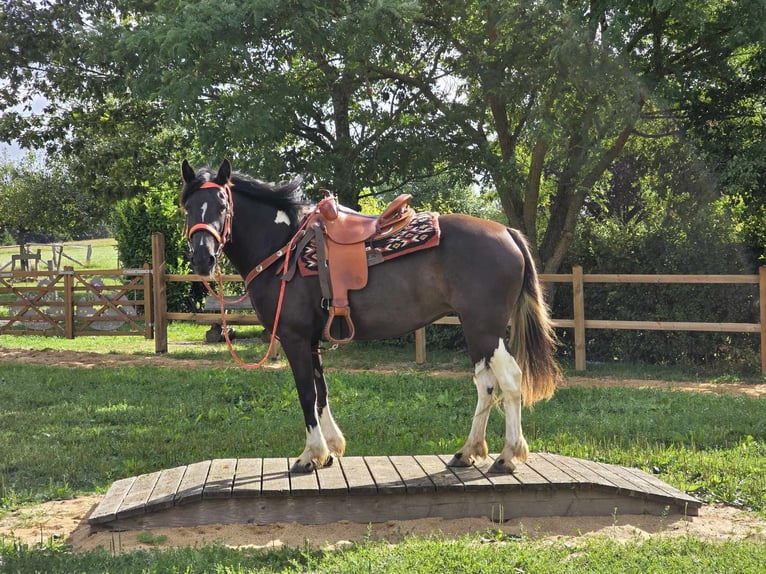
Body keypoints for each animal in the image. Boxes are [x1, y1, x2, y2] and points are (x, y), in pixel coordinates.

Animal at [182, 160, 560, 474]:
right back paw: (469, 451)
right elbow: (321, 391)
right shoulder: (312, 340)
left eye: (222, 205)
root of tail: (507, 232)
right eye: (187, 207)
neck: (283, 245)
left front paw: (310, 455)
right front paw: (331, 449)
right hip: (477, 331)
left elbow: (306, 394)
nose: (202, 258)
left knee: (509, 379)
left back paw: (508, 455)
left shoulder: (294, 337)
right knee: (485, 383)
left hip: (485, 328)